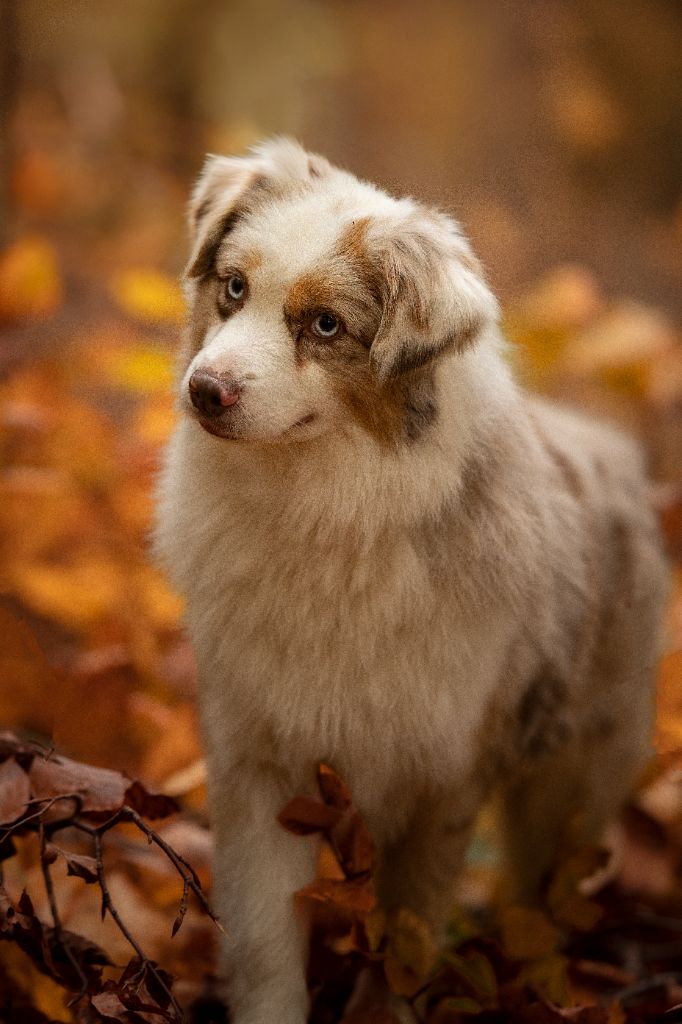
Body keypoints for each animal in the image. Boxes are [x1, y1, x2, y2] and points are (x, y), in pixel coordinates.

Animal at [152, 138, 663, 1024]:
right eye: (234, 288)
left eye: (325, 324)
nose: (204, 391)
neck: (325, 520)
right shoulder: (258, 758)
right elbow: (265, 944)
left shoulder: (445, 777)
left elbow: (405, 941)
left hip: (571, 784)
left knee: (548, 893)